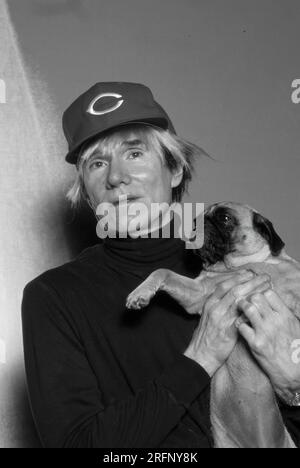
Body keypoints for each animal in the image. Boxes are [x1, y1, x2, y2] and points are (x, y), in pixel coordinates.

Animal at [126, 203, 300, 448]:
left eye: (225, 218)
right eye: (197, 218)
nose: (198, 223)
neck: (237, 266)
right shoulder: (198, 294)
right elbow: (163, 272)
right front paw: (140, 292)